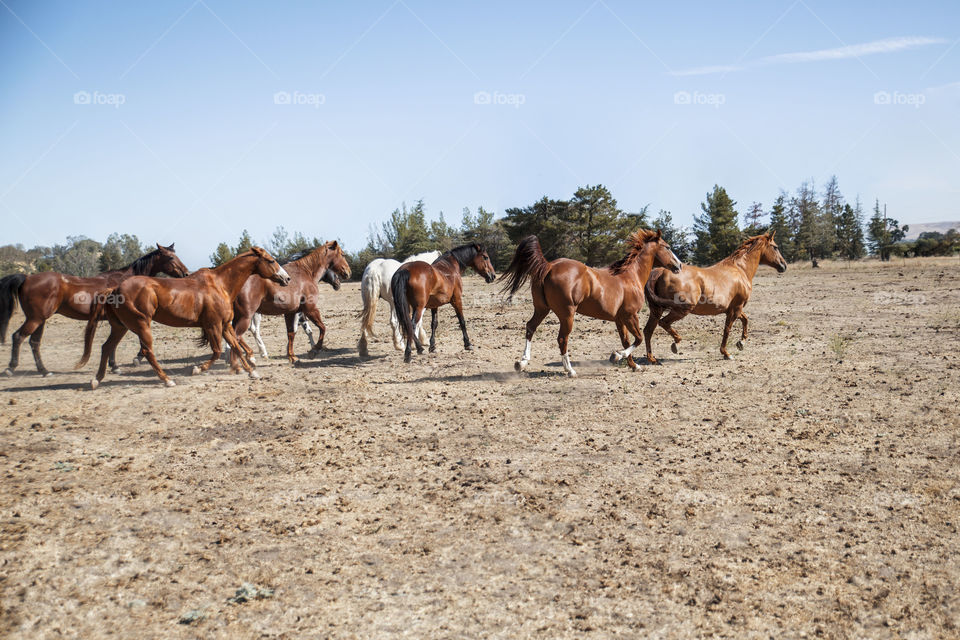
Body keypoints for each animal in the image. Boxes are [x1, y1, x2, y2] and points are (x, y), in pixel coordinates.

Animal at [77, 246, 288, 388]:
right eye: (271, 260)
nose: (286, 278)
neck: (220, 285)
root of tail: (115, 289)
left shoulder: (225, 325)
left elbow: (235, 345)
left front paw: (251, 371)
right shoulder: (212, 325)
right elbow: (217, 351)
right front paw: (197, 369)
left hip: (121, 326)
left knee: (106, 347)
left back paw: (96, 380)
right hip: (141, 325)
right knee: (146, 351)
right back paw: (167, 380)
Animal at [496, 230, 684, 378]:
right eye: (667, 247)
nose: (679, 265)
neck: (631, 277)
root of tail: (548, 266)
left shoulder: (620, 319)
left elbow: (626, 340)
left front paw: (633, 365)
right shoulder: (631, 316)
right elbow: (637, 339)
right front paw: (616, 356)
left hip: (542, 309)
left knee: (530, 327)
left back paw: (521, 363)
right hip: (567, 314)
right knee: (562, 339)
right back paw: (570, 371)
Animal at [644, 230, 788, 362]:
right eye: (775, 247)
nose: (784, 265)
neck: (739, 269)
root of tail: (660, 270)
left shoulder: (734, 308)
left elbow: (745, 320)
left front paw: (741, 342)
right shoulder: (736, 309)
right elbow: (727, 330)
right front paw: (726, 353)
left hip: (657, 310)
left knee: (648, 330)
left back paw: (652, 358)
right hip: (681, 309)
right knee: (663, 323)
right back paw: (676, 344)